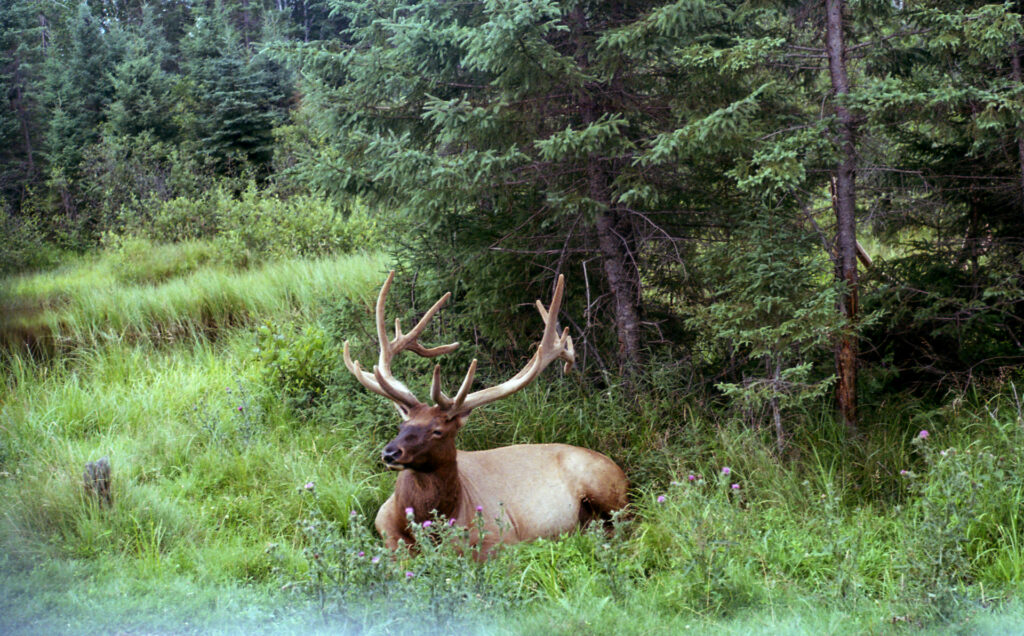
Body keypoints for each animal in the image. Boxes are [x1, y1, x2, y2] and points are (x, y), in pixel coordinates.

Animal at [344, 272, 626, 557]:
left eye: (438, 431)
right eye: (402, 426)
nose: (390, 453)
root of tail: (618, 468)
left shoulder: (502, 535)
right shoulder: (384, 527)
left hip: (607, 490)